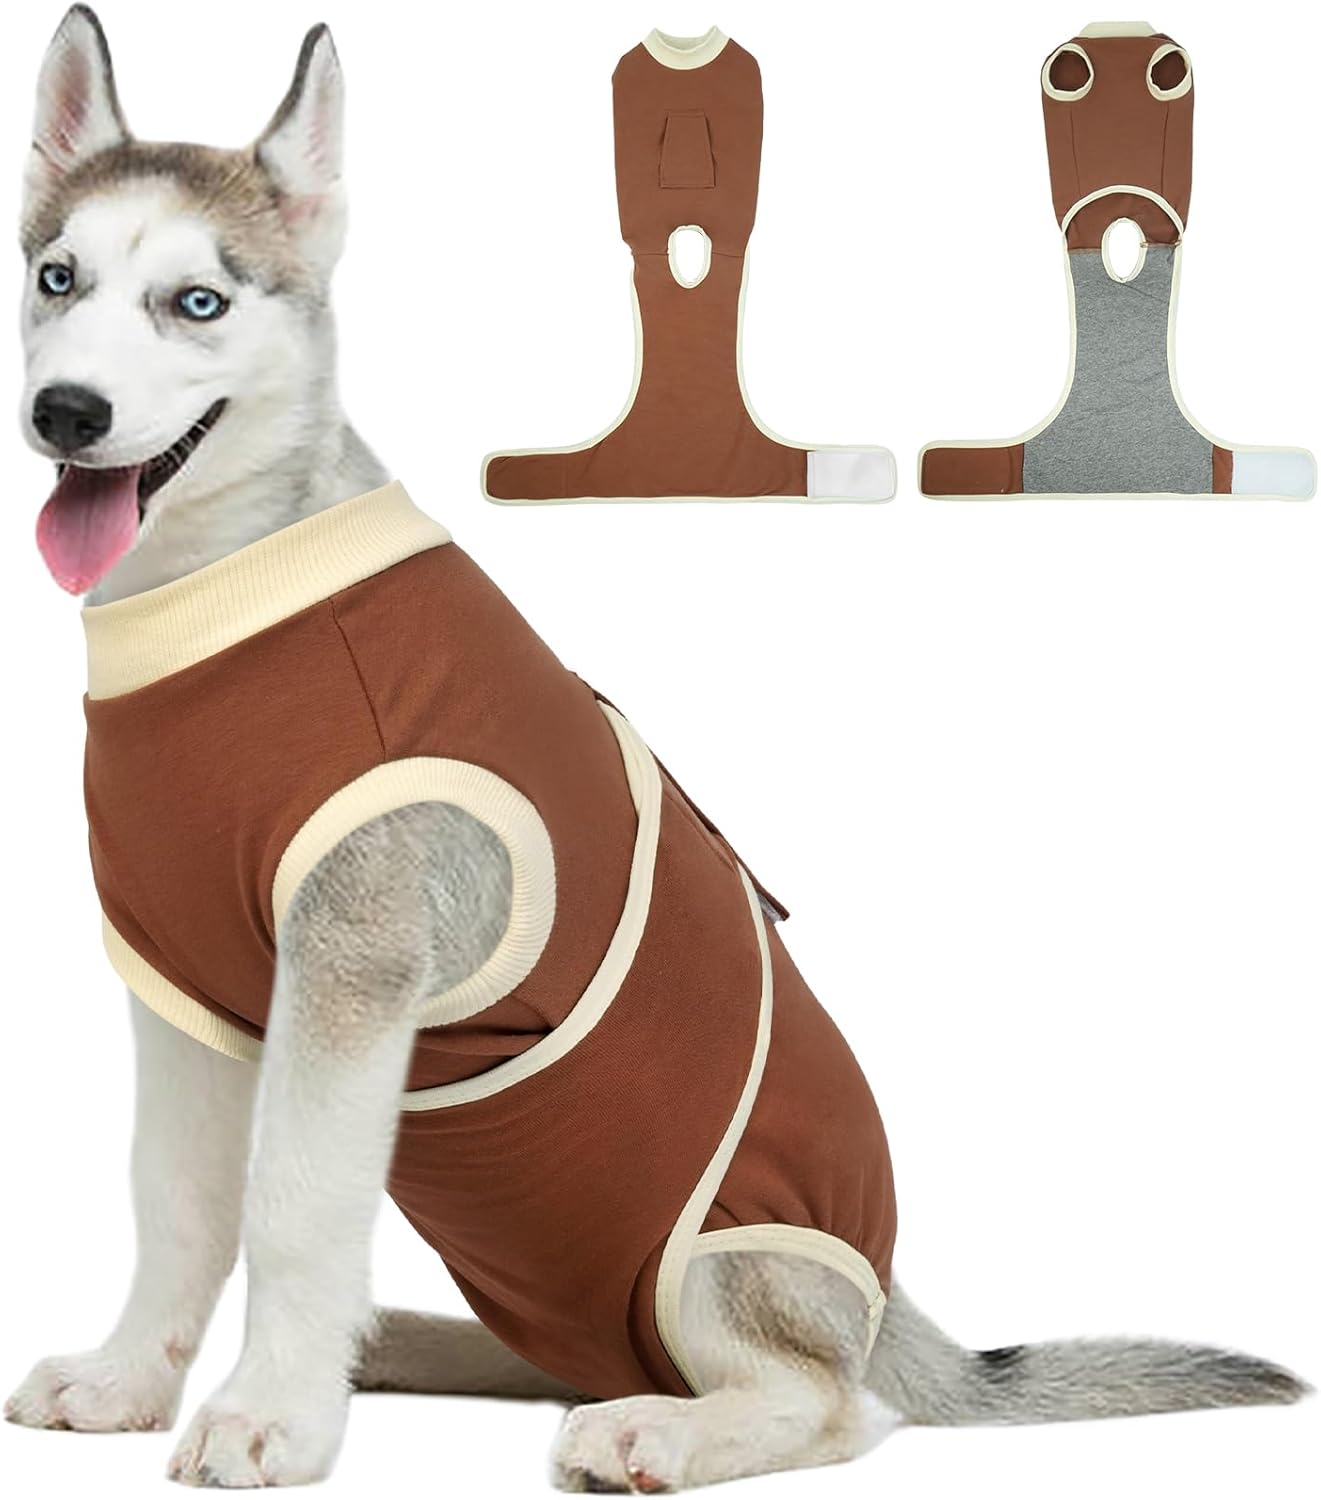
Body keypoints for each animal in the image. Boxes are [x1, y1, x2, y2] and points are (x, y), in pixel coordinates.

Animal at [5, 8, 1307, 1492]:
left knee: (832, 1406)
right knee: (573, 1351)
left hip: (717, 1266)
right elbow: (174, 1201)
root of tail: (883, 1297)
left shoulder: (347, 979)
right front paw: (128, 1379)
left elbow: (289, 1206)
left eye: (200, 305)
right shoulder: (181, 992)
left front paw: (272, 1414)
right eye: (56, 277)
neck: (221, 592)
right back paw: (408, 1343)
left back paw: (653, 1429)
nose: (66, 414)